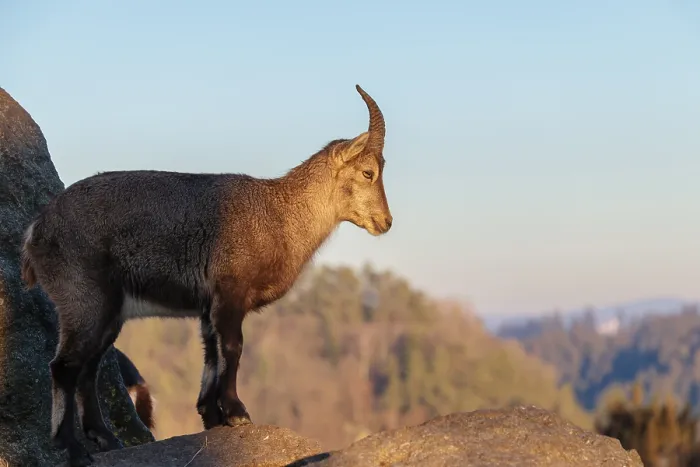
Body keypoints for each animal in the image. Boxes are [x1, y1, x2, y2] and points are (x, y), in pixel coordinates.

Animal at [20, 84, 392, 466]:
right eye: (368, 172)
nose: (386, 222)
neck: (279, 214)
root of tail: (36, 230)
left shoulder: (207, 306)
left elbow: (210, 355)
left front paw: (212, 417)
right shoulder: (230, 292)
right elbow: (233, 347)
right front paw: (237, 412)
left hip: (109, 313)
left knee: (88, 368)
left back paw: (106, 438)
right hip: (85, 298)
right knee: (65, 366)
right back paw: (71, 444)